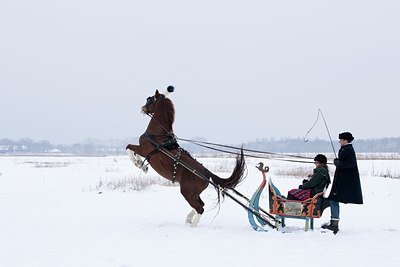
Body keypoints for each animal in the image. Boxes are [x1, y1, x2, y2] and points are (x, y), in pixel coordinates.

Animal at [126, 90, 245, 228]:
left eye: (150, 99)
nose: (142, 108)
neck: (158, 134)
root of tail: (206, 173)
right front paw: (142, 165)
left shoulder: (144, 149)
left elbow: (129, 147)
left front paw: (138, 163)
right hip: (193, 193)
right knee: (201, 205)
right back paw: (189, 219)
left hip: (187, 192)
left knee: (200, 208)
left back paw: (192, 226)